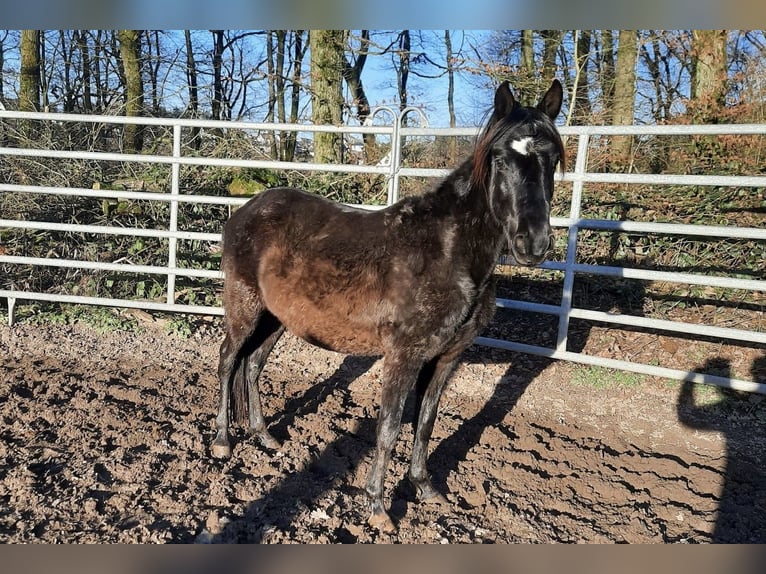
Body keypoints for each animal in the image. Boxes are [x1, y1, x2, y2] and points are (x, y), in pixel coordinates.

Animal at [213, 79, 568, 532]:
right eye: (501, 159)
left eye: (553, 158)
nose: (533, 244)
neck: (448, 250)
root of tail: (246, 210)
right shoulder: (403, 355)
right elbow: (389, 427)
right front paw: (378, 508)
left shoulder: (446, 357)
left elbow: (426, 422)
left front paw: (424, 487)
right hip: (245, 308)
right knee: (228, 360)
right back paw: (223, 441)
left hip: (276, 318)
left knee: (253, 365)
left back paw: (265, 436)